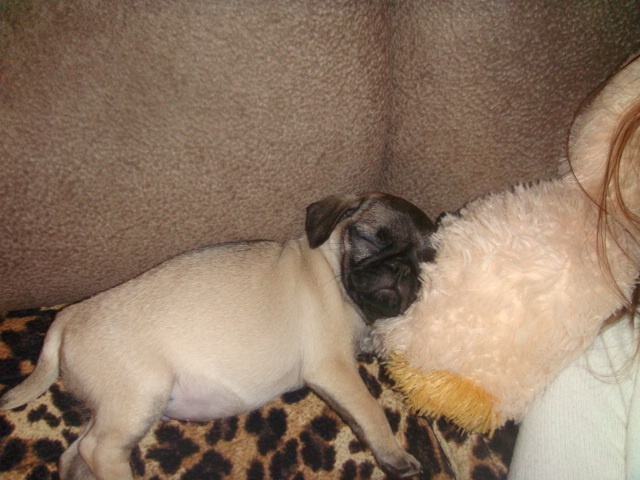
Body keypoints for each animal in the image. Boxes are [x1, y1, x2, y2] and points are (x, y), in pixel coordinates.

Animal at [1, 192, 435, 480]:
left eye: (425, 262)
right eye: (372, 239)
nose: (401, 269)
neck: (331, 267)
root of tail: (69, 316)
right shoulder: (334, 370)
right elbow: (370, 410)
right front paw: (395, 455)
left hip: (113, 408)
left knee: (78, 451)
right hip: (142, 394)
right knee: (99, 449)